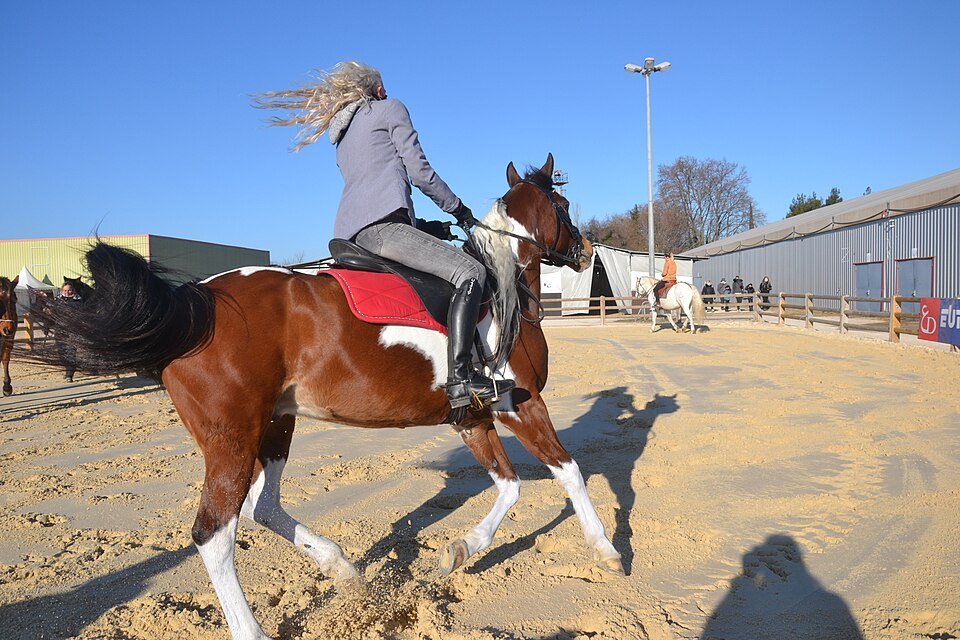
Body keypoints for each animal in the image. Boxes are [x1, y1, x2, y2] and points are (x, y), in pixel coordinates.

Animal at [35, 154, 623, 640]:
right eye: (563, 205)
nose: (586, 250)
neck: (501, 291)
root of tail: (193, 302)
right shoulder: (518, 404)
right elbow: (568, 471)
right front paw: (607, 550)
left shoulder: (471, 417)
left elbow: (509, 485)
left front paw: (460, 551)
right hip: (232, 441)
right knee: (213, 533)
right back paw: (254, 629)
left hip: (274, 426)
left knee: (263, 506)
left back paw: (342, 568)